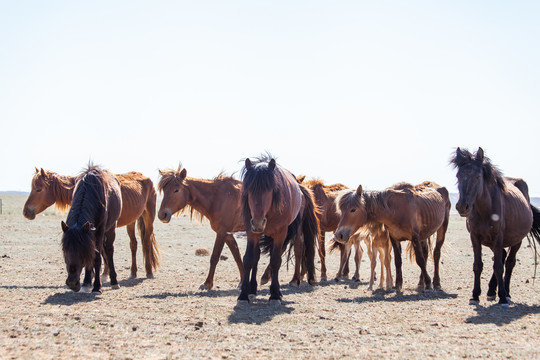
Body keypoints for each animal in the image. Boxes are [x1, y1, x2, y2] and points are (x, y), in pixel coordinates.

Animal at [23, 169, 158, 278]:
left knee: (146, 242)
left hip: (149, 217)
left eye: (39, 189)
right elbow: (102, 250)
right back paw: (133, 272)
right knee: (133, 244)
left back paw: (149, 272)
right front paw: (104, 273)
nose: (26, 212)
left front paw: (103, 275)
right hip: (131, 221)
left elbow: (103, 249)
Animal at [237, 156, 320, 306]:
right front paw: (244, 294)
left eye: (270, 189)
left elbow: (276, 260)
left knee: (298, 248)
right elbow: (249, 259)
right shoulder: (252, 232)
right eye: (248, 189)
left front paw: (275, 294)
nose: (258, 222)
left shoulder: (280, 233)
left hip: (295, 229)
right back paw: (256, 286)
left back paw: (294, 280)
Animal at [452, 148, 540, 306]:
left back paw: (507, 292)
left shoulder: (498, 237)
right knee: (503, 256)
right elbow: (478, 265)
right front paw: (475, 295)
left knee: (509, 262)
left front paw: (503, 297)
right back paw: (491, 291)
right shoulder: (475, 237)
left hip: (516, 241)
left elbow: (499, 266)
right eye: (458, 176)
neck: (485, 210)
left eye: (477, 176)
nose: (462, 206)